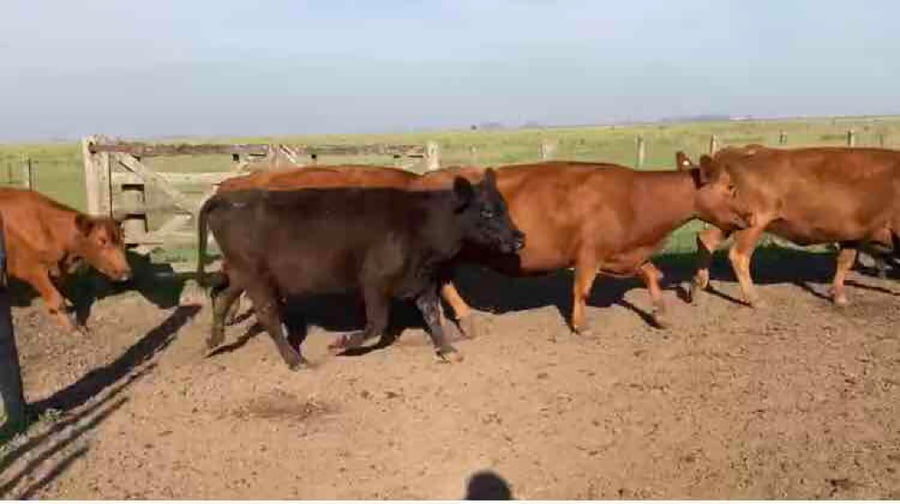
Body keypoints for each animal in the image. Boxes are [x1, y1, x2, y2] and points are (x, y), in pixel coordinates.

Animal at [0, 188, 132, 333]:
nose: (125, 272)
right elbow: (56, 299)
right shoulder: (30, 269)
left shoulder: (58, 271)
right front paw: (73, 328)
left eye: (122, 239)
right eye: (102, 240)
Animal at [196, 169, 524, 370]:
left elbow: (432, 316)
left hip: (242, 274)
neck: (420, 222)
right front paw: (340, 344)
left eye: (504, 206)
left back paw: (212, 342)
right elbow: (376, 324)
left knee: (223, 297)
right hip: (256, 277)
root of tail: (227, 197)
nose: (520, 238)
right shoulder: (374, 282)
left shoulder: (423, 280)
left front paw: (447, 350)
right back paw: (295, 360)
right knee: (267, 315)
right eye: (487, 211)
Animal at [680, 146, 900, 307]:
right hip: (753, 224)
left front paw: (838, 296)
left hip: (729, 222)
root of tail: (731, 153)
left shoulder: (852, 234)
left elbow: (845, 260)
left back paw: (697, 286)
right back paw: (754, 299)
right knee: (739, 255)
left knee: (706, 240)